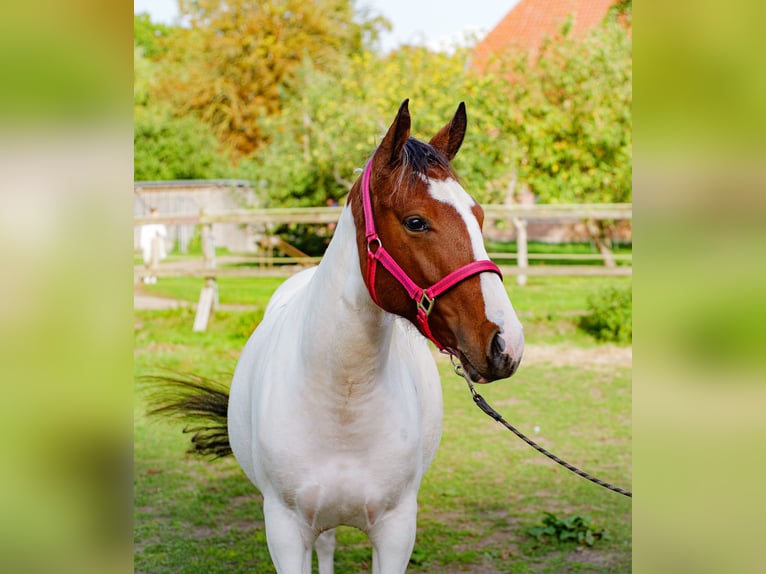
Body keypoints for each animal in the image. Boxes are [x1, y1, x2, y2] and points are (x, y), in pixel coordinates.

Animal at [151, 100, 524, 573]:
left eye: (479, 216)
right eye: (416, 221)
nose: (506, 343)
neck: (344, 401)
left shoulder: (396, 533)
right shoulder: (285, 534)